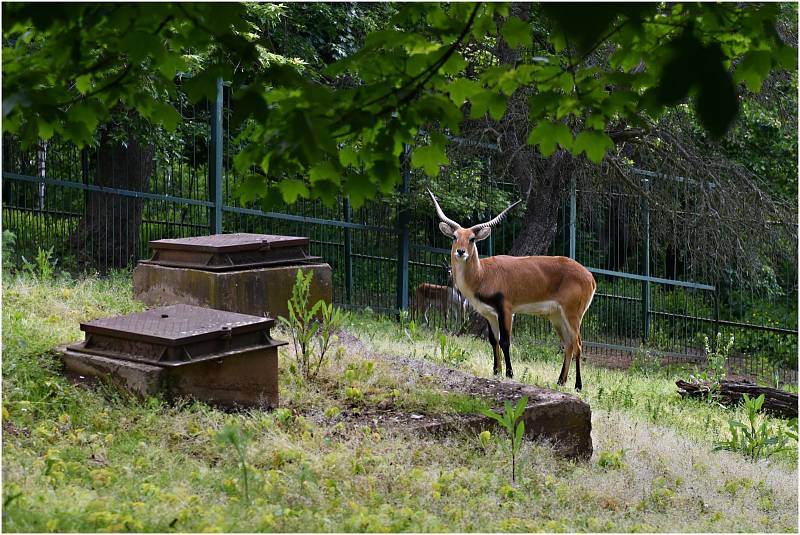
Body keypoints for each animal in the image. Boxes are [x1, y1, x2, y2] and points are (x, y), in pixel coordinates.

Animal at [432, 191, 592, 392]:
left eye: (472, 239)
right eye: (454, 236)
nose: (461, 252)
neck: (483, 274)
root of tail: (589, 276)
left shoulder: (506, 310)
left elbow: (505, 341)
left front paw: (509, 373)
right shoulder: (489, 314)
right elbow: (493, 340)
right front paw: (496, 371)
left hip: (573, 315)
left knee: (578, 344)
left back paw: (578, 386)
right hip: (556, 316)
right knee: (568, 344)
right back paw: (560, 382)